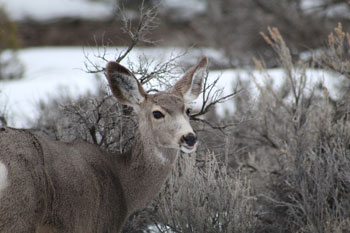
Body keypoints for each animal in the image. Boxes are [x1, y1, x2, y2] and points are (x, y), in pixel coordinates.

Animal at [0, 57, 208, 233]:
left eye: (188, 110)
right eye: (157, 113)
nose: (189, 138)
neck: (125, 187)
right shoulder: (100, 224)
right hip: (20, 213)